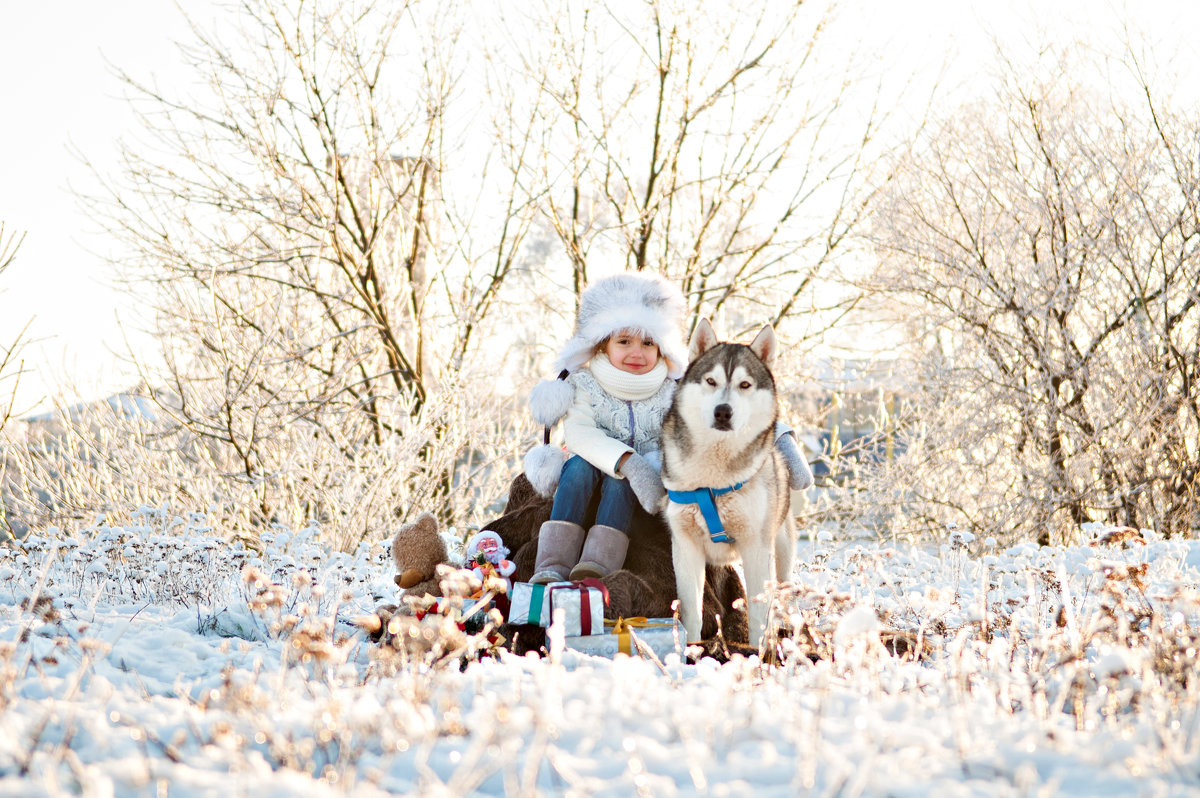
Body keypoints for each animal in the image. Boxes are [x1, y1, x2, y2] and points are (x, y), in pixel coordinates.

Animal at [662, 316, 792, 648]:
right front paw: (692, 650)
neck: (713, 477)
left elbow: (759, 613)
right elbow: (692, 611)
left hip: (781, 551)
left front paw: (759, 652)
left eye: (745, 385)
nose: (723, 411)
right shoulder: (685, 545)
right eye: (711, 381)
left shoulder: (756, 546)